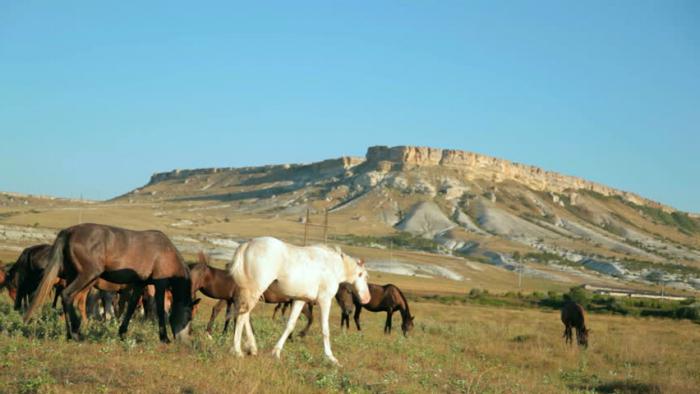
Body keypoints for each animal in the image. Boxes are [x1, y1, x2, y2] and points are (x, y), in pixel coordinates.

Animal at [24, 223, 198, 344]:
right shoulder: (160, 284)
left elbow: (131, 307)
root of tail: (68, 232)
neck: (166, 252)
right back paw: (76, 333)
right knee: (67, 295)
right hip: (87, 274)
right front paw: (164, 338)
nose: (186, 341)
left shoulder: (139, 284)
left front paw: (122, 333)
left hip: (75, 275)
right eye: (189, 316)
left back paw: (69, 334)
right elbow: (160, 310)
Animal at [230, 235, 372, 364]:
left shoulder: (300, 300)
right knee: (242, 317)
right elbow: (325, 329)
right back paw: (238, 351)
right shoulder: (325, 300)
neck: (332, 266)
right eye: (364, 276)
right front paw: (331, 358)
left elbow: (290, 325)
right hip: (256, 290)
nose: (367, 299)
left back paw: (252, 348)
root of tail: (247, 244)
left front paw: (276, 352)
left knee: (245, 315)